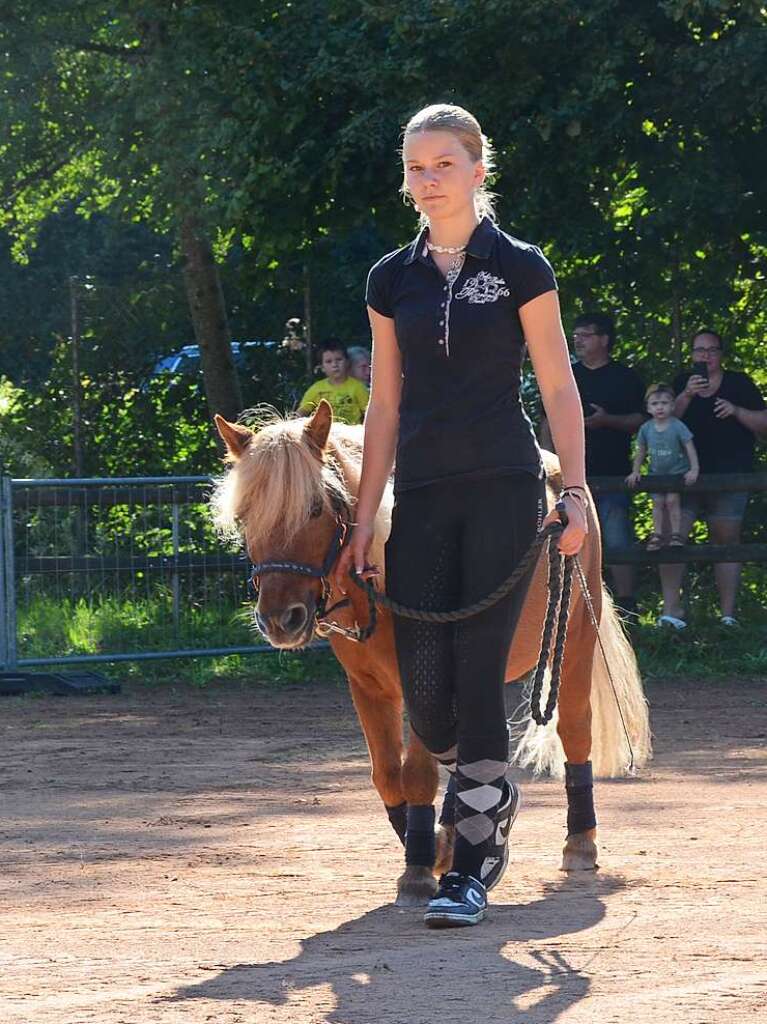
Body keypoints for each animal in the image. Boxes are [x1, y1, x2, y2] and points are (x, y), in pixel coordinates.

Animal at [211, 399, 651, 905]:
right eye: (245, 515)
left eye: (315, 508)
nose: (281, 620)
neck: (378, 585)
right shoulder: (368, 687)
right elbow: (388, 774)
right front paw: (440, 847)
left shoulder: (420, 679)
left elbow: (417, 774)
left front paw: (421, 866)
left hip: (573, 646)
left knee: (575, 732)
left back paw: (579, 843)